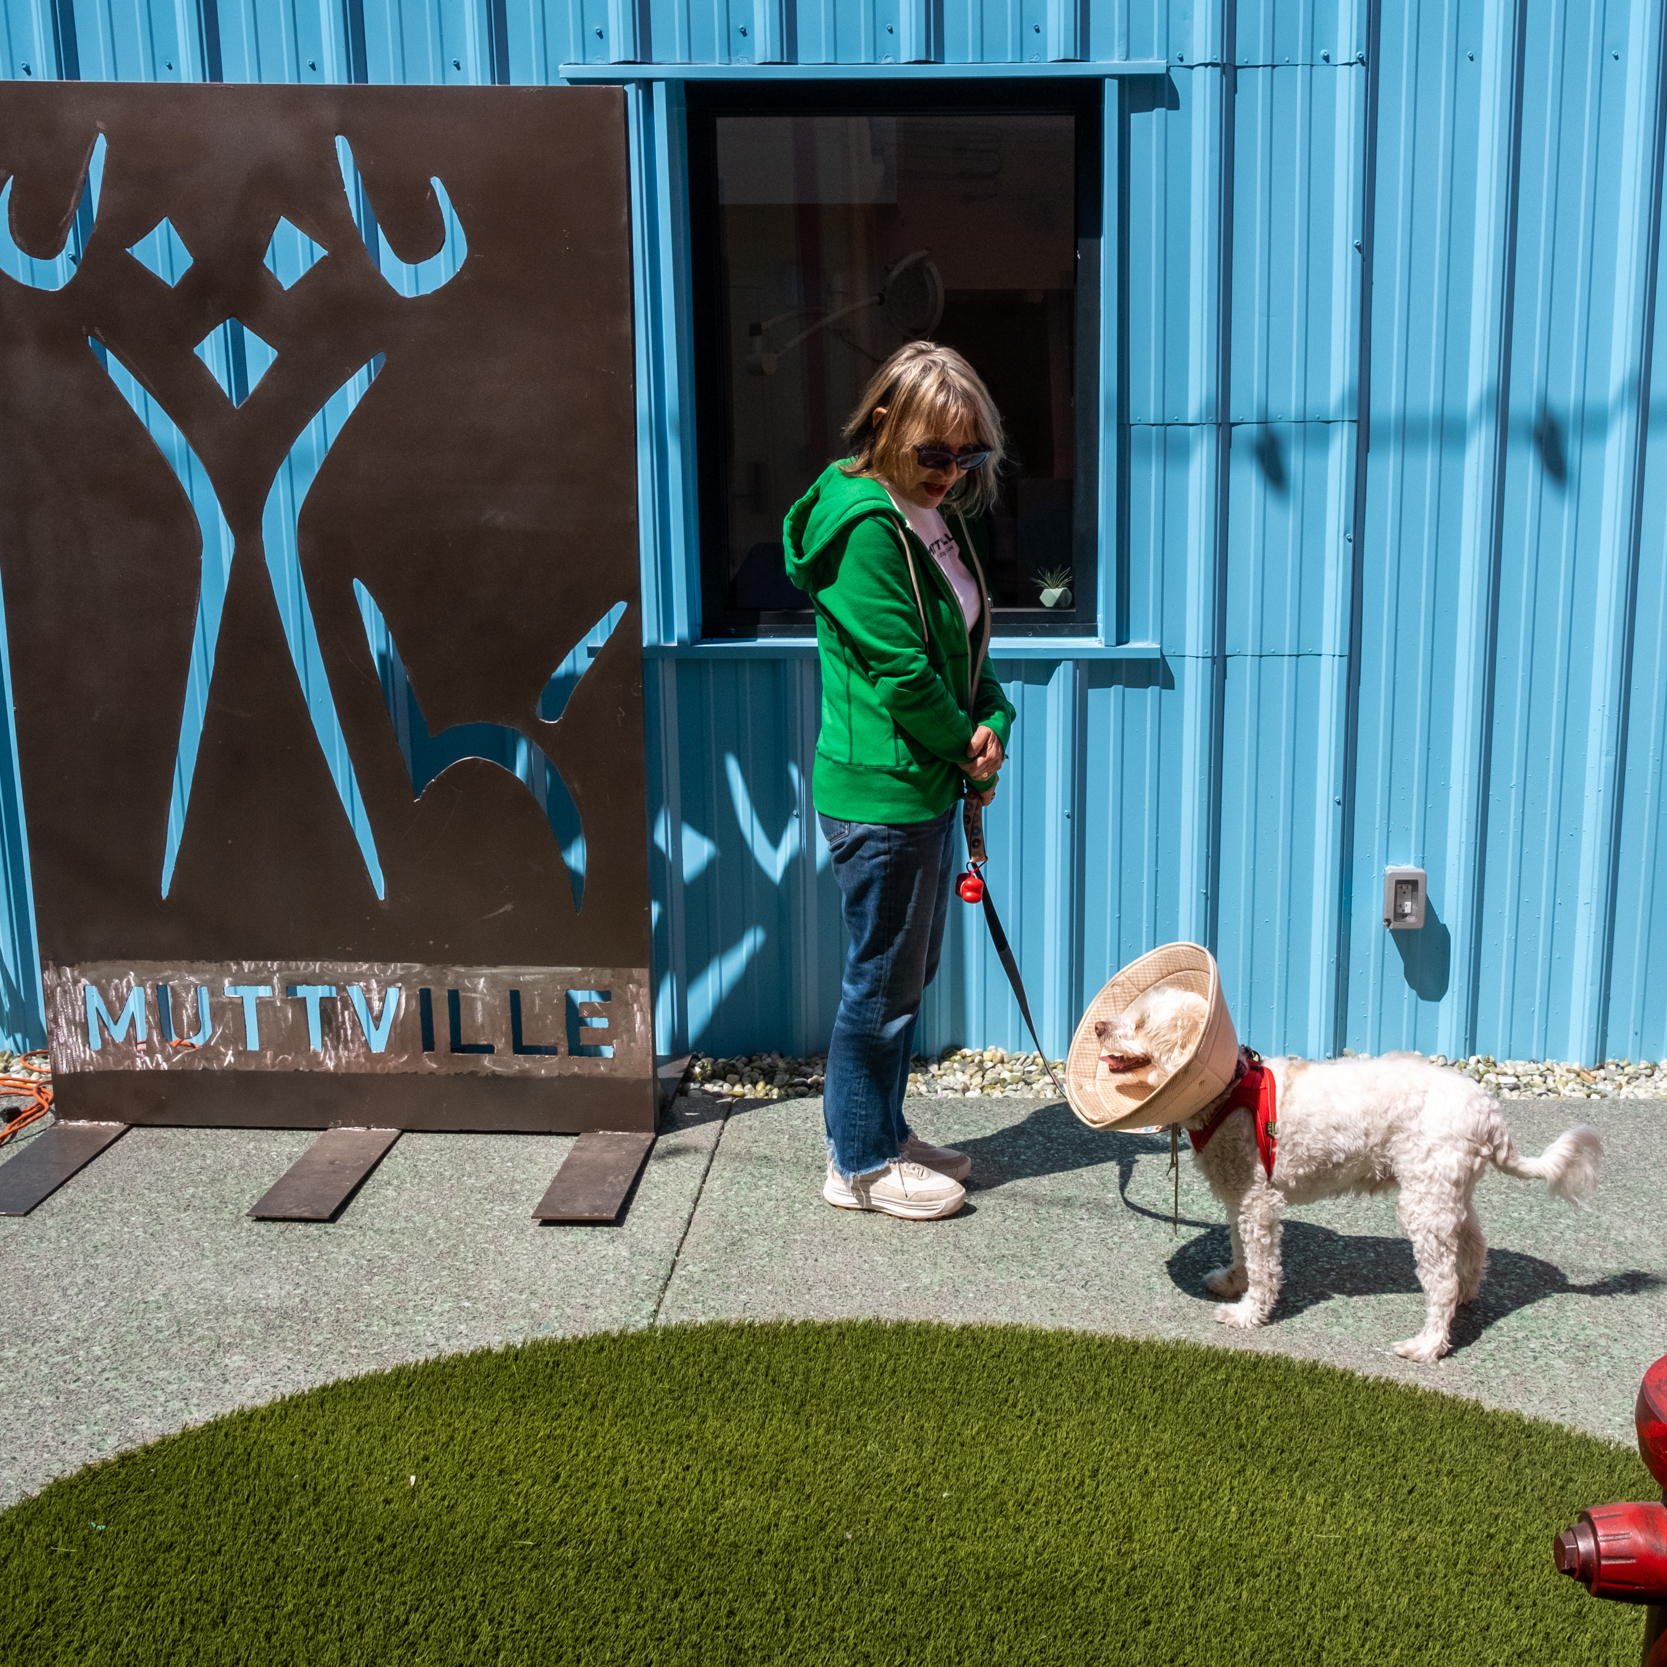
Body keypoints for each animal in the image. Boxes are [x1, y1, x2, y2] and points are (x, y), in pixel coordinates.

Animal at [1093, 986, 1600, 1353]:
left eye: (1140, 1024)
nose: (1097, 1026)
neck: (1230, 1090)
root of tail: (1490, 1114)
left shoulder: (1258, 1202)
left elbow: (1263, 1264)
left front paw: (1248, 1314)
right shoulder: (1240, 1195)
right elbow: (1240, 1248)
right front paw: (1232, 1282)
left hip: (1425, 1205)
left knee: (1440, 1281)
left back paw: (1427, 1344)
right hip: (1448, 1190)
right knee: (1473, 1245)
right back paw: (1466, 1296)